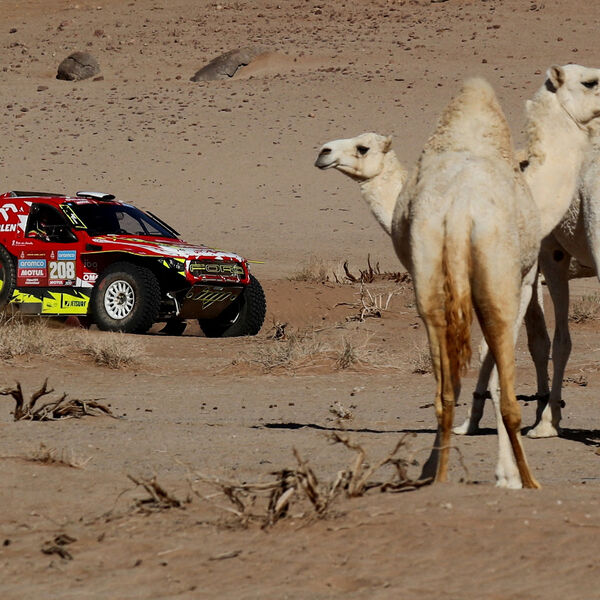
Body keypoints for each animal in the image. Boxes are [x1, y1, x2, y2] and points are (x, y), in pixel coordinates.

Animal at [315, 65, 600, 487]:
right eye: (591, 81)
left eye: (362, 148)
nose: (324, 152)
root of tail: (459, 209)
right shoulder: (527, 273)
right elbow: (524, 347)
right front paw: (519, 425)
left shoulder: (532, 271)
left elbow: (526, 346)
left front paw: (526, 433)